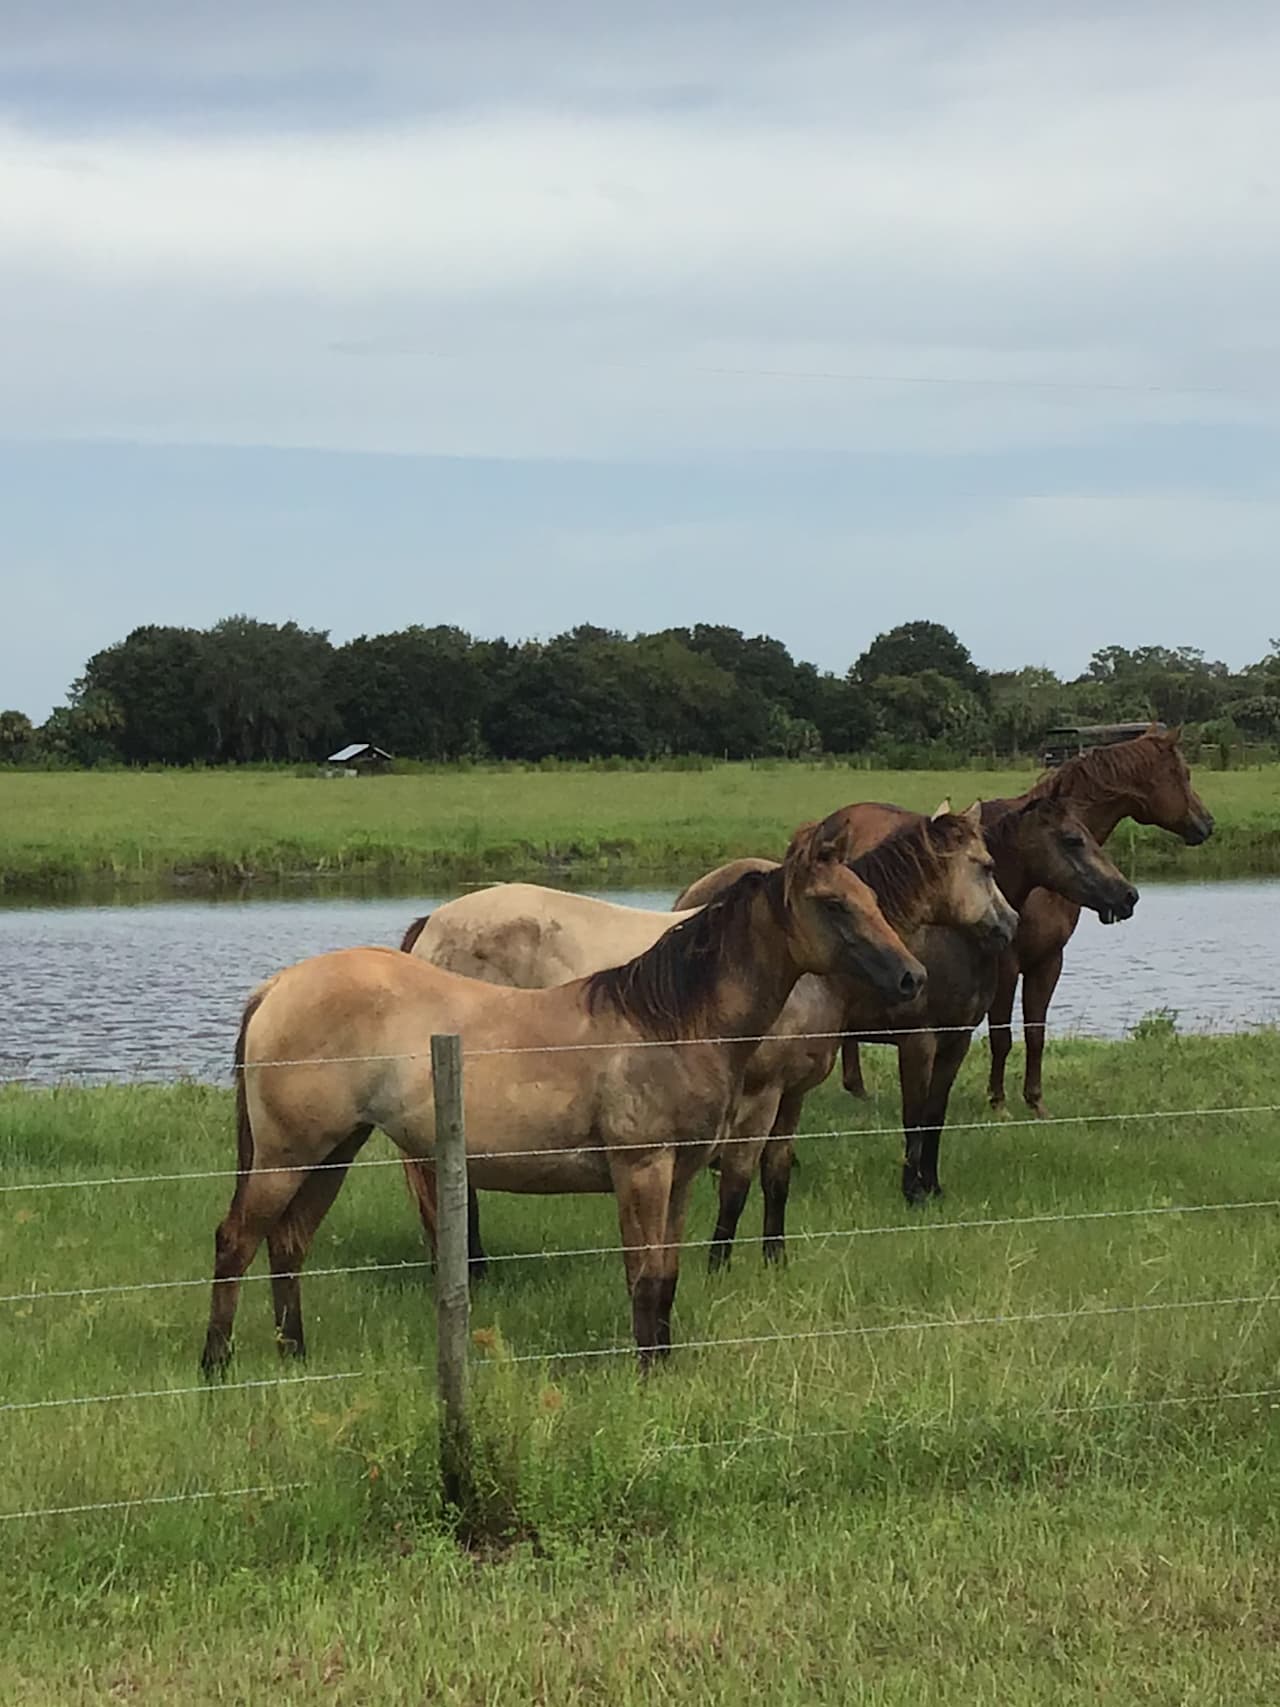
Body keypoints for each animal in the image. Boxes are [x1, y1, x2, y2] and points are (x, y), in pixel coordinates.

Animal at [200, 815, 928, 1372]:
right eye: (834, 904)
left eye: (869, 897)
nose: (912, 977)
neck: (668, 1021)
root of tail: (277, 986)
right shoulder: (641, 1169)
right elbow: (642, 1277)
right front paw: (645, 1373)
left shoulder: (681, 1175)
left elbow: (668, 1275)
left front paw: (664, 1365)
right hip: (289, 1154)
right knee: (237, 1240)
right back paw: (216, 1366)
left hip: (335, 1150)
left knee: (289, 1243)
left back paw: (294, 1354)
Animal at [406, 805, 1017, 1276]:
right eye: (985, 867)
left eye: (868, 898)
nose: (1009, 923)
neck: (795, 969)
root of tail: (432, 924)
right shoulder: (759, 1093)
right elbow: (739, 1180)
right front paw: (719, 1263)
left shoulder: (792, 1095)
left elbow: (776, 1175)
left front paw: (775, 1258)